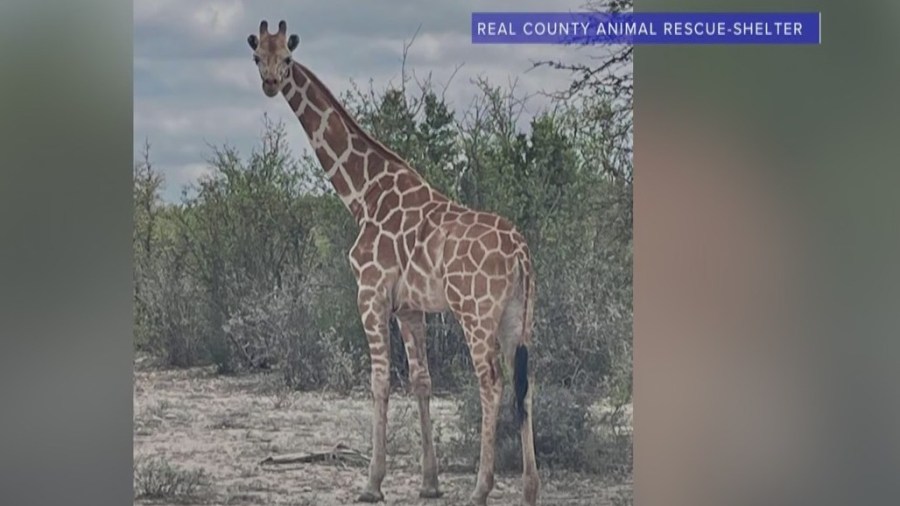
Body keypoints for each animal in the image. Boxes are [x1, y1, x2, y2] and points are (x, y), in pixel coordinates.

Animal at [247, 20, 539, 505]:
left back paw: (480, 489)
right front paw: (429, 482)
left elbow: (380, 380)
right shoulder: (410, 307)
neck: (363, 194)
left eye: (286, 58)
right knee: (524, 384)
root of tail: (520, 252)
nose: (270, 83)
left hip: (476, 313)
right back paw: (531, 488)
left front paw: (372, 482)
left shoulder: (370, 293)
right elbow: (422, 381)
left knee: (491, 383)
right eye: (257, 57)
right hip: (519, 315)